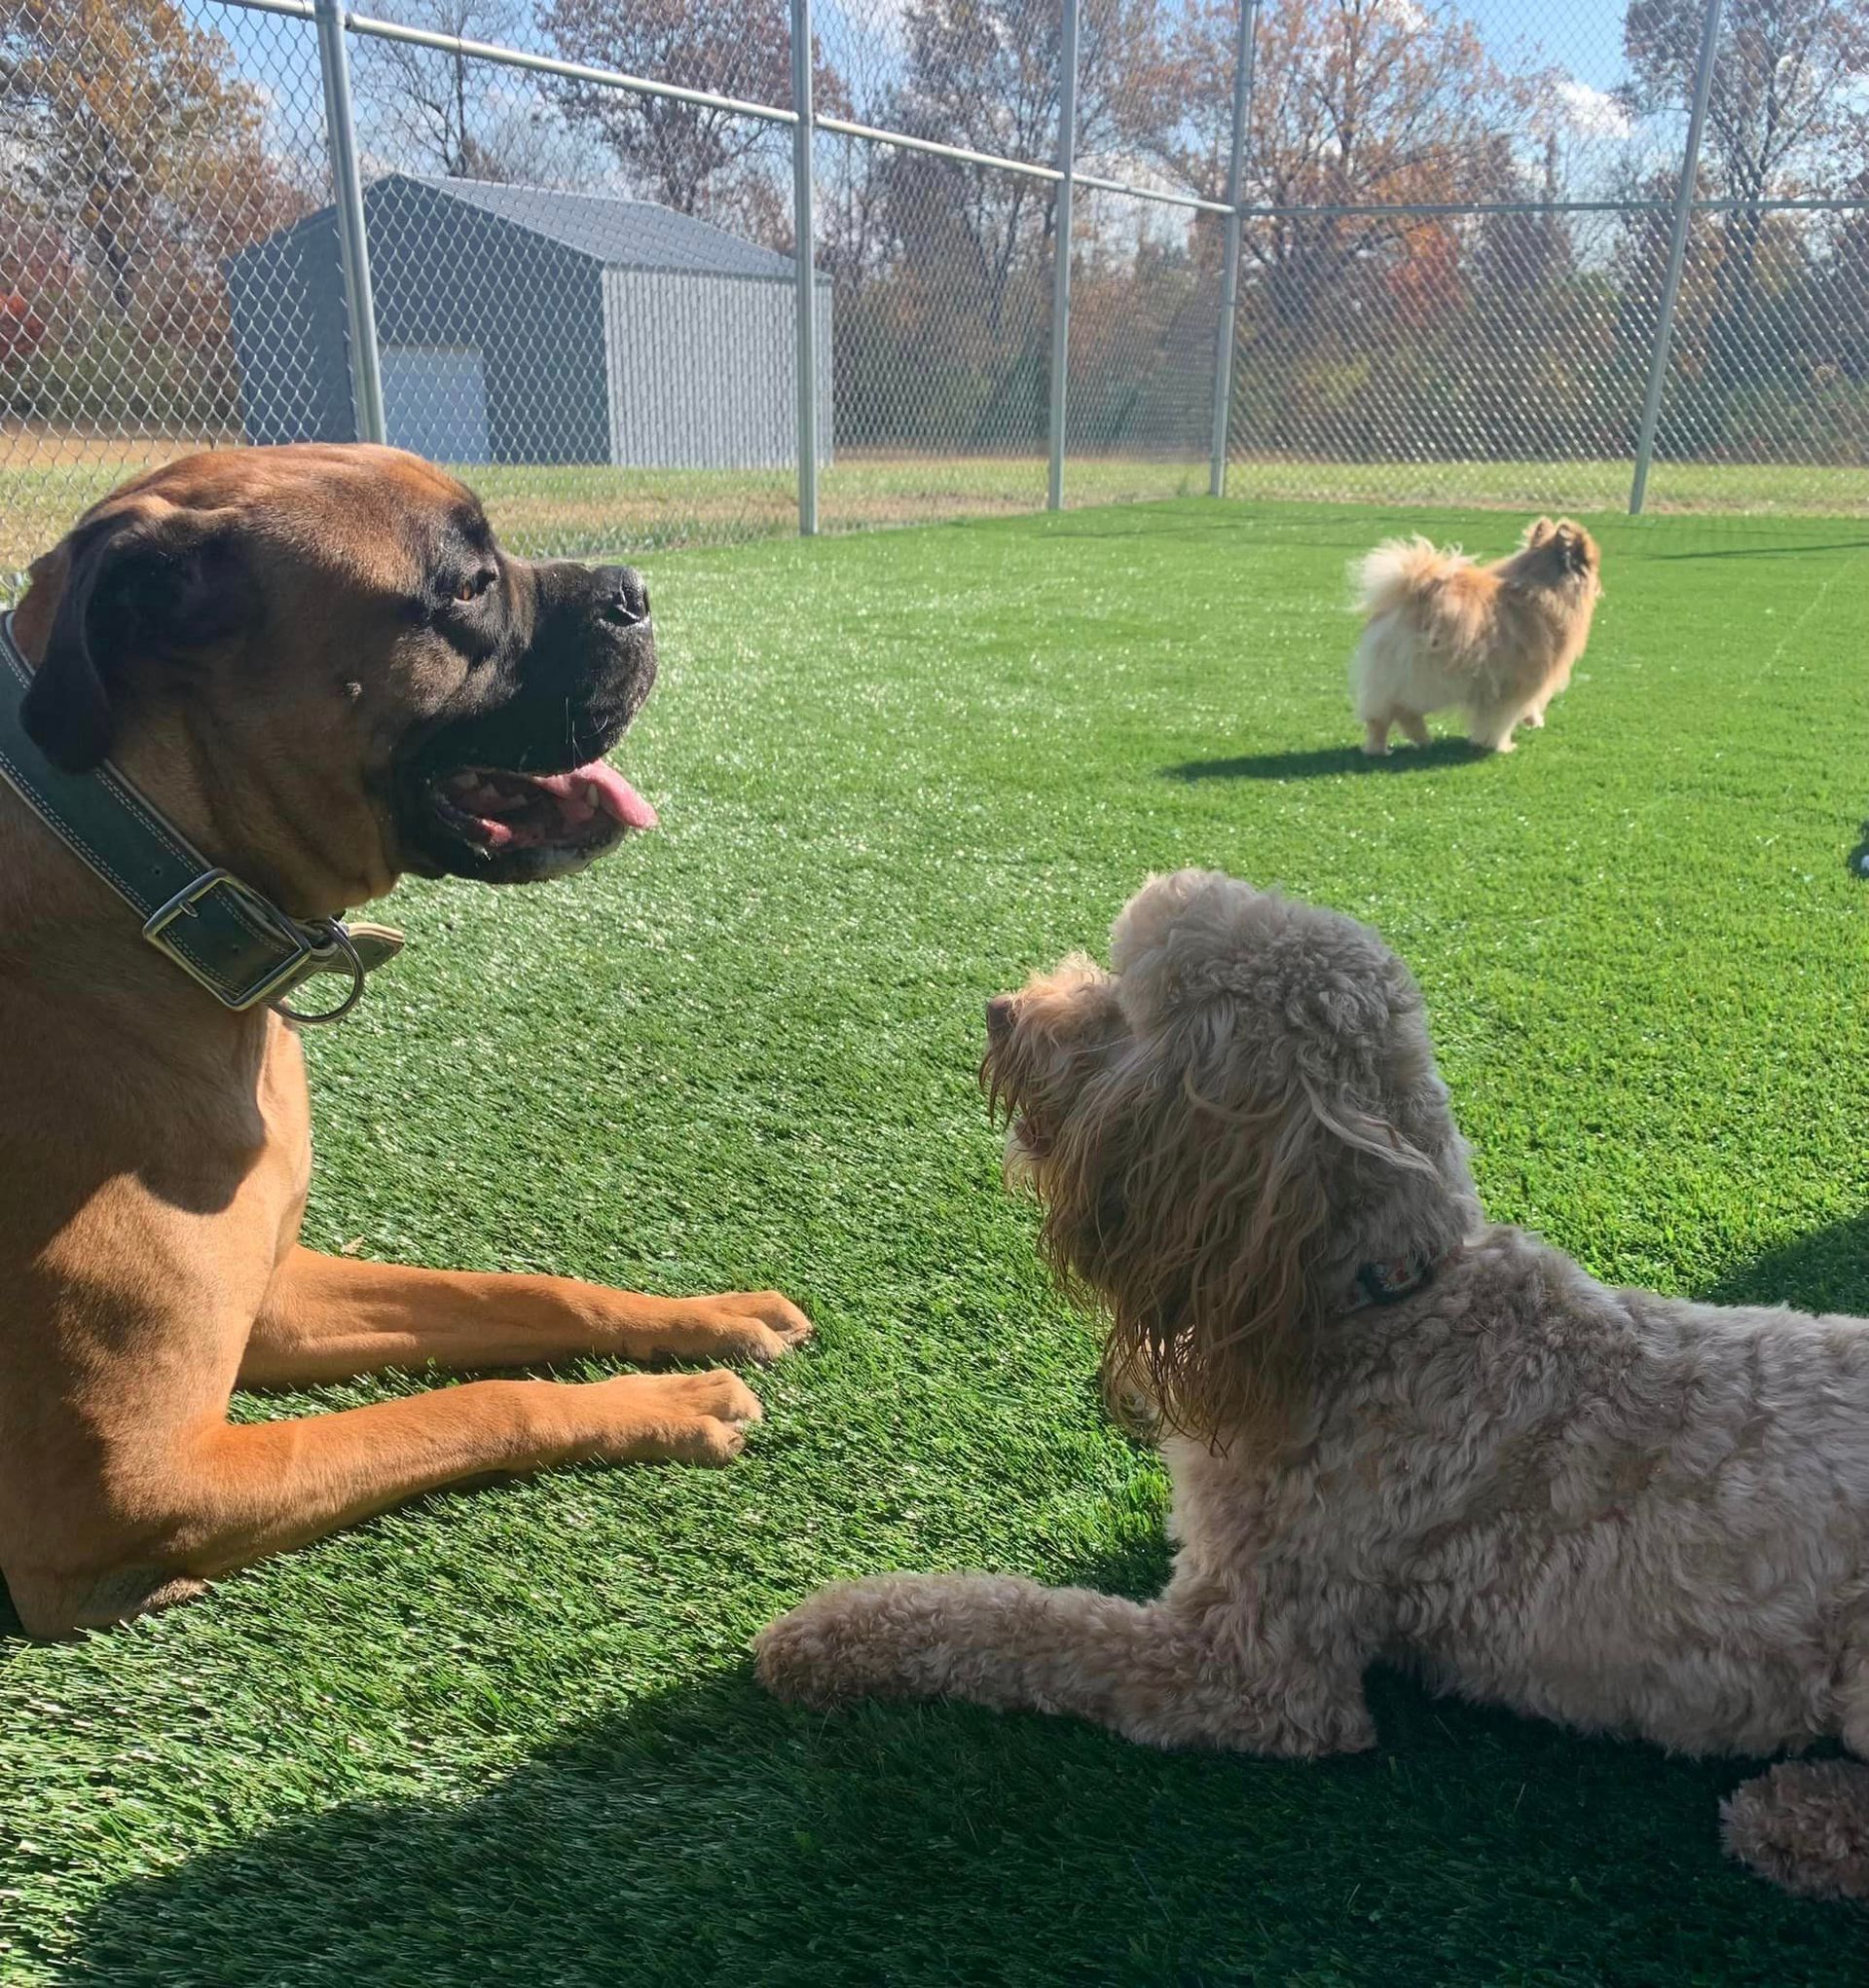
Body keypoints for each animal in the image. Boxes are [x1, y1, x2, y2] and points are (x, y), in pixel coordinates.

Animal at [1, 443, 819, 1638]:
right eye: (467, 587)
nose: (634, 589)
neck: (138, 884)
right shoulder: (132, 1493)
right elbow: (482, 1399)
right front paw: (661, 1399)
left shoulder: (276, 1297)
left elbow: (523, 1291)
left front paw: (697, 1317)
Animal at [755, 878, 1869, 1900]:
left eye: (1132, 1010)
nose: (1002, 1010)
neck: (1388, 1306)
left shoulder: (1254, 1662)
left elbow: (1021, 1622)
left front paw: (832, 1631)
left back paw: (1796, 1816)